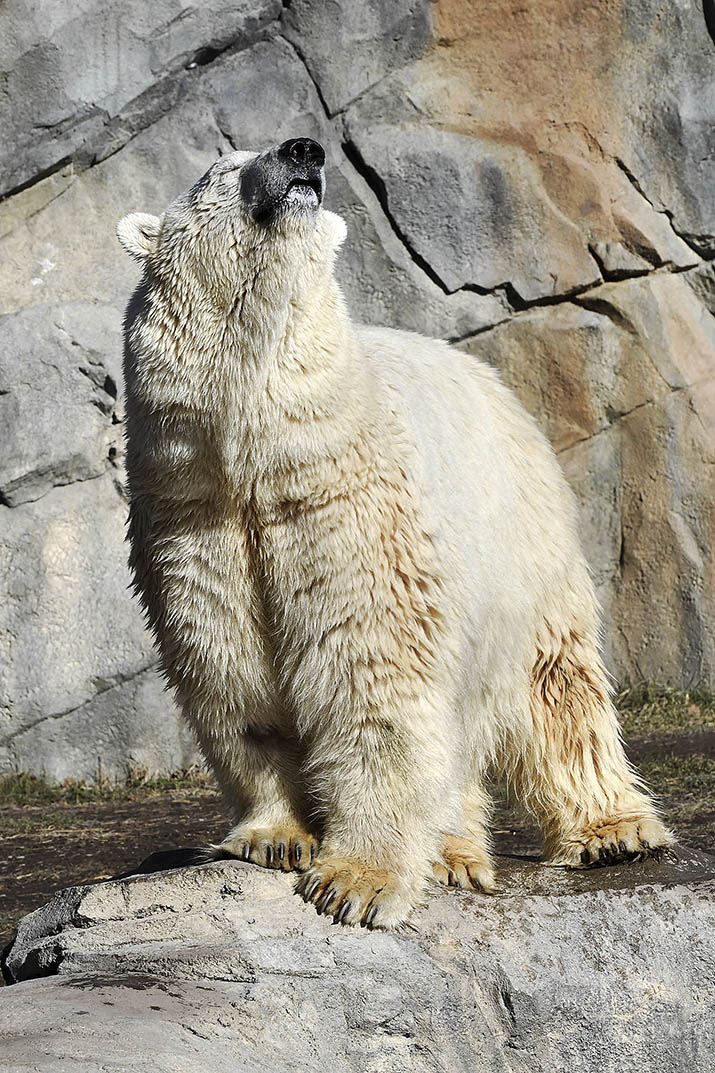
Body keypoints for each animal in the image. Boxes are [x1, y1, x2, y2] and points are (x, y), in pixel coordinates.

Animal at [117, 137, 672, 929]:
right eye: (223, 169)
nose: (305, 151)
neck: (254, 444)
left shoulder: (348, 501)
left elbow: (373, 667)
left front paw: (355, 883)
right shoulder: (194, 511)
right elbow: (231, 673)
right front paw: (275, 837)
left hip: (522, 541)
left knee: (551, 682)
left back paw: (606, 832)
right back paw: (457, 848)